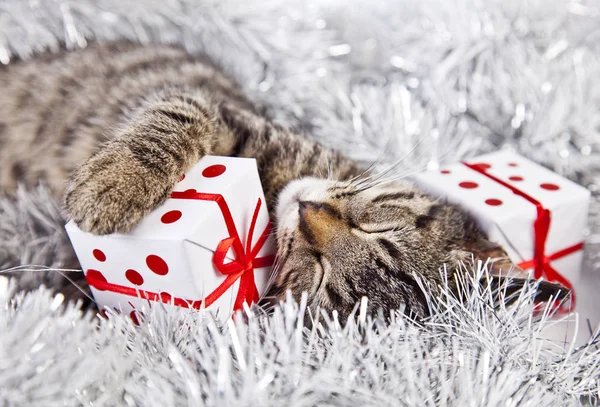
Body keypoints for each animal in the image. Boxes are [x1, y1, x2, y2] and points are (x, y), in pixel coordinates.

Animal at [0, 41, 568, 322]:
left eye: (318, 278)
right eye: (378, 229)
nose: (309, 216)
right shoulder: (218, 110)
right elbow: (176, 114)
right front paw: (114, 184)